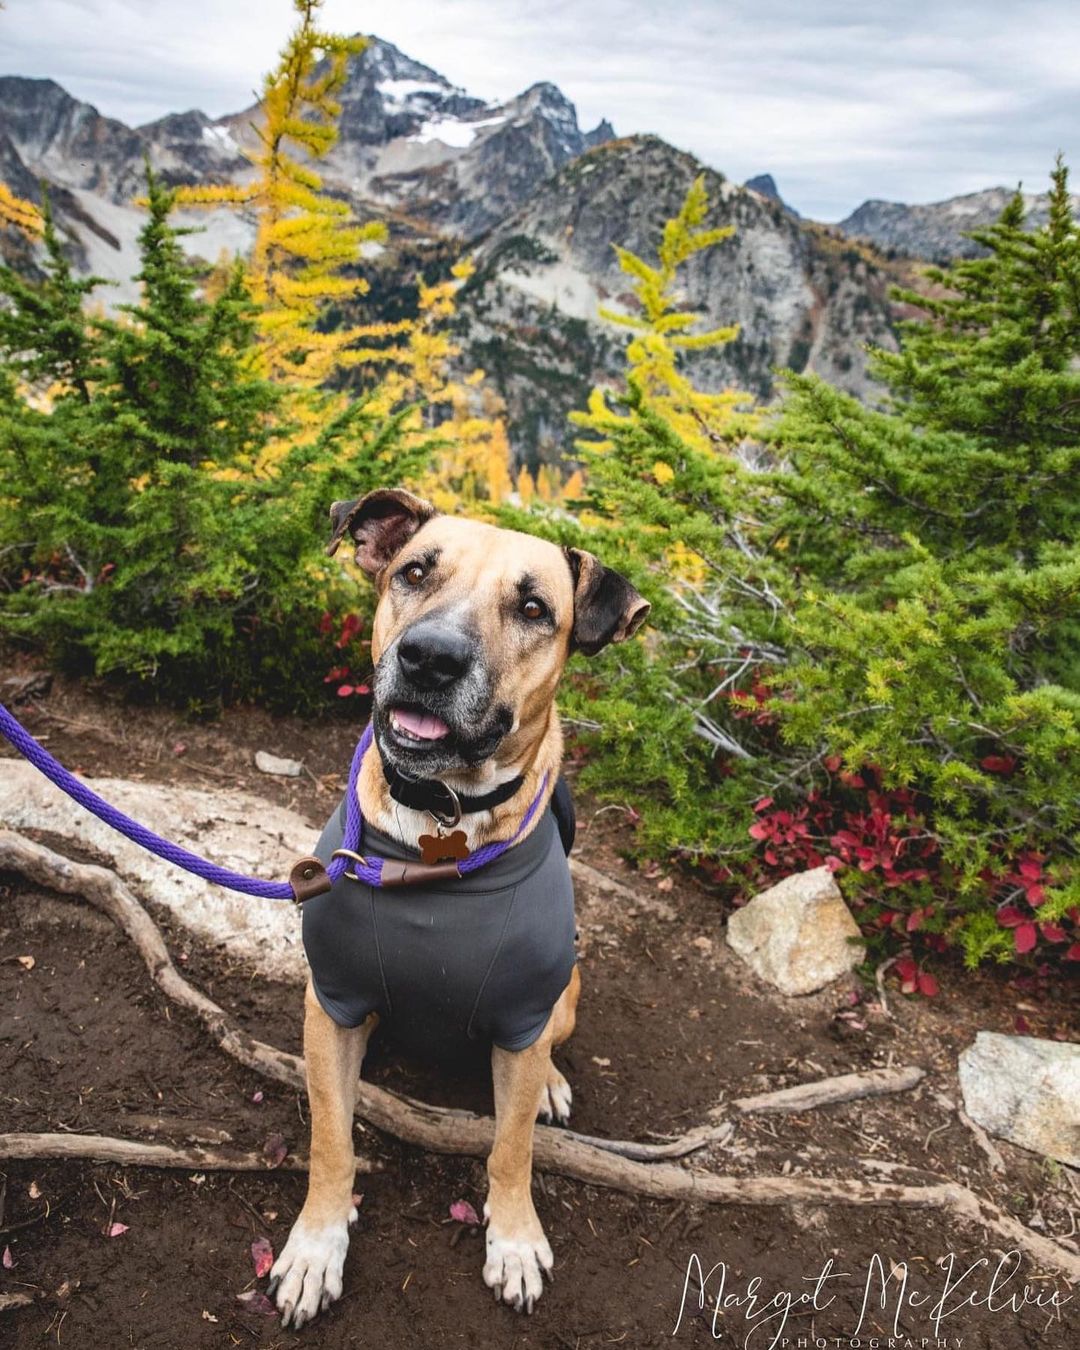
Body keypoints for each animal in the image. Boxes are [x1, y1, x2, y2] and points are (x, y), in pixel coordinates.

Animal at [267, 488, 650, 1328]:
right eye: (415, 571)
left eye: (534, 608)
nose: (430, 657)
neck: (439, 820)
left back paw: (548, 1084)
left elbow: (511, 1148)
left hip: (563, 998)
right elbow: (331, 1140)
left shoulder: (524, 1014)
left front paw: (514, 1238)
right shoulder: (330, 1003)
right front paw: (317, 1243)